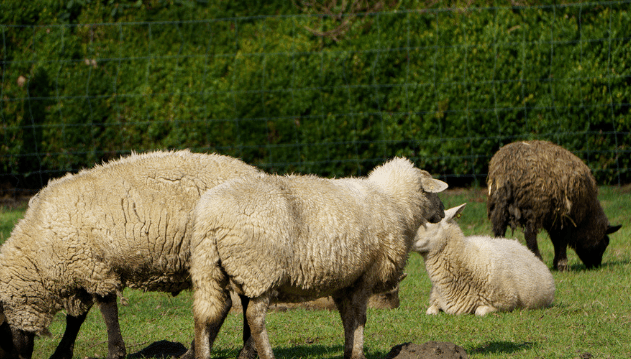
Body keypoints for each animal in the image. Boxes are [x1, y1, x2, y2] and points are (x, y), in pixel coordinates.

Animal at [0, 150, 262, 359]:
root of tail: (258, 176)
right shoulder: (83, 269)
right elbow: (76, 319)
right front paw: (61, 353)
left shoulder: (95, 269)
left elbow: (107, 312)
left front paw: (115, 352)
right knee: (238, 301)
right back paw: (233, 351)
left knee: (233, 303)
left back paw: (212, 353)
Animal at [189, 158, 450, 359]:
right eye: (433, 193)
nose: (442, 212)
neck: (394, 202)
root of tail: (212, 217)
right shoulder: (365, 276)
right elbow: (360, 317)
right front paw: (358, 353)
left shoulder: (346, 280)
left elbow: (347, 318)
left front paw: (349, 351)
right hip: (260, 269)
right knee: (254, 317)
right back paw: (267, 354)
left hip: (207, 267)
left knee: (203, 315)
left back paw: (203, 354)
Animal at [488, 142, 624, 272]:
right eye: (605, 242)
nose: (596, 266)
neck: (588, 215)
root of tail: (506, 172)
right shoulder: (566, 218)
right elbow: (562, 241)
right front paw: (562, 265)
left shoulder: (554, 218)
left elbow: (555, 240)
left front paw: (557, 264)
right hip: (534, 207)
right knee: (529, 234)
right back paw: (538, 260)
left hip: (499, 207)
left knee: (499, 231)